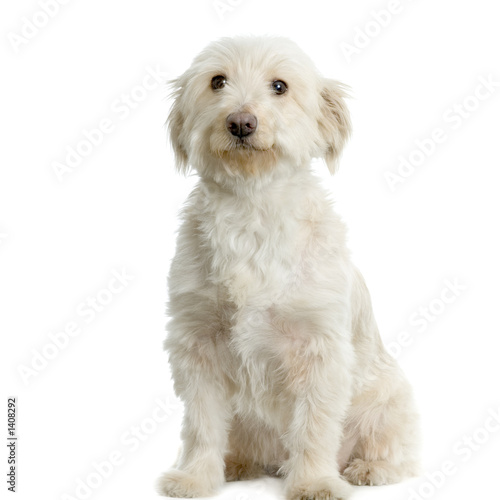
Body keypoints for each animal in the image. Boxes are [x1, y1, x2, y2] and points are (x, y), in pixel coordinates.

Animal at [158, 36, 420, 500]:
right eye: (217, 81)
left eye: (279, 86)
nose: (241, 122)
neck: (250, 207)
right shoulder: (197, 343)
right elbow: (202, 425)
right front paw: (196, 477)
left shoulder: (320, 350)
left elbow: (314, 425)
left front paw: (314, 481)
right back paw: (236, 463)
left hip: (390, 400)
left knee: (393, 447)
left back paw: (369, 469)